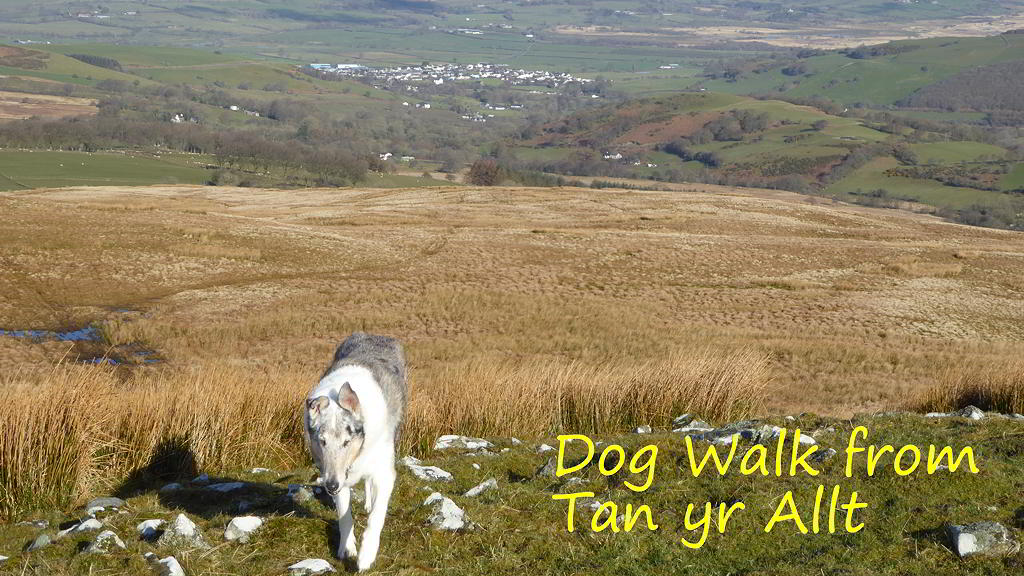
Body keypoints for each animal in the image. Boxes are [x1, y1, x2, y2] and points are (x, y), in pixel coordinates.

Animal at [301, 332, 405, 569]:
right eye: (322, 441)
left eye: (347, 441)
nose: (330, 486)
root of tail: (375, 335)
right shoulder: (338, 476)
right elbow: (344, 515)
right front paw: (346, 548)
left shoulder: (385, 474)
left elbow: (377, 515)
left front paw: (366, 554)